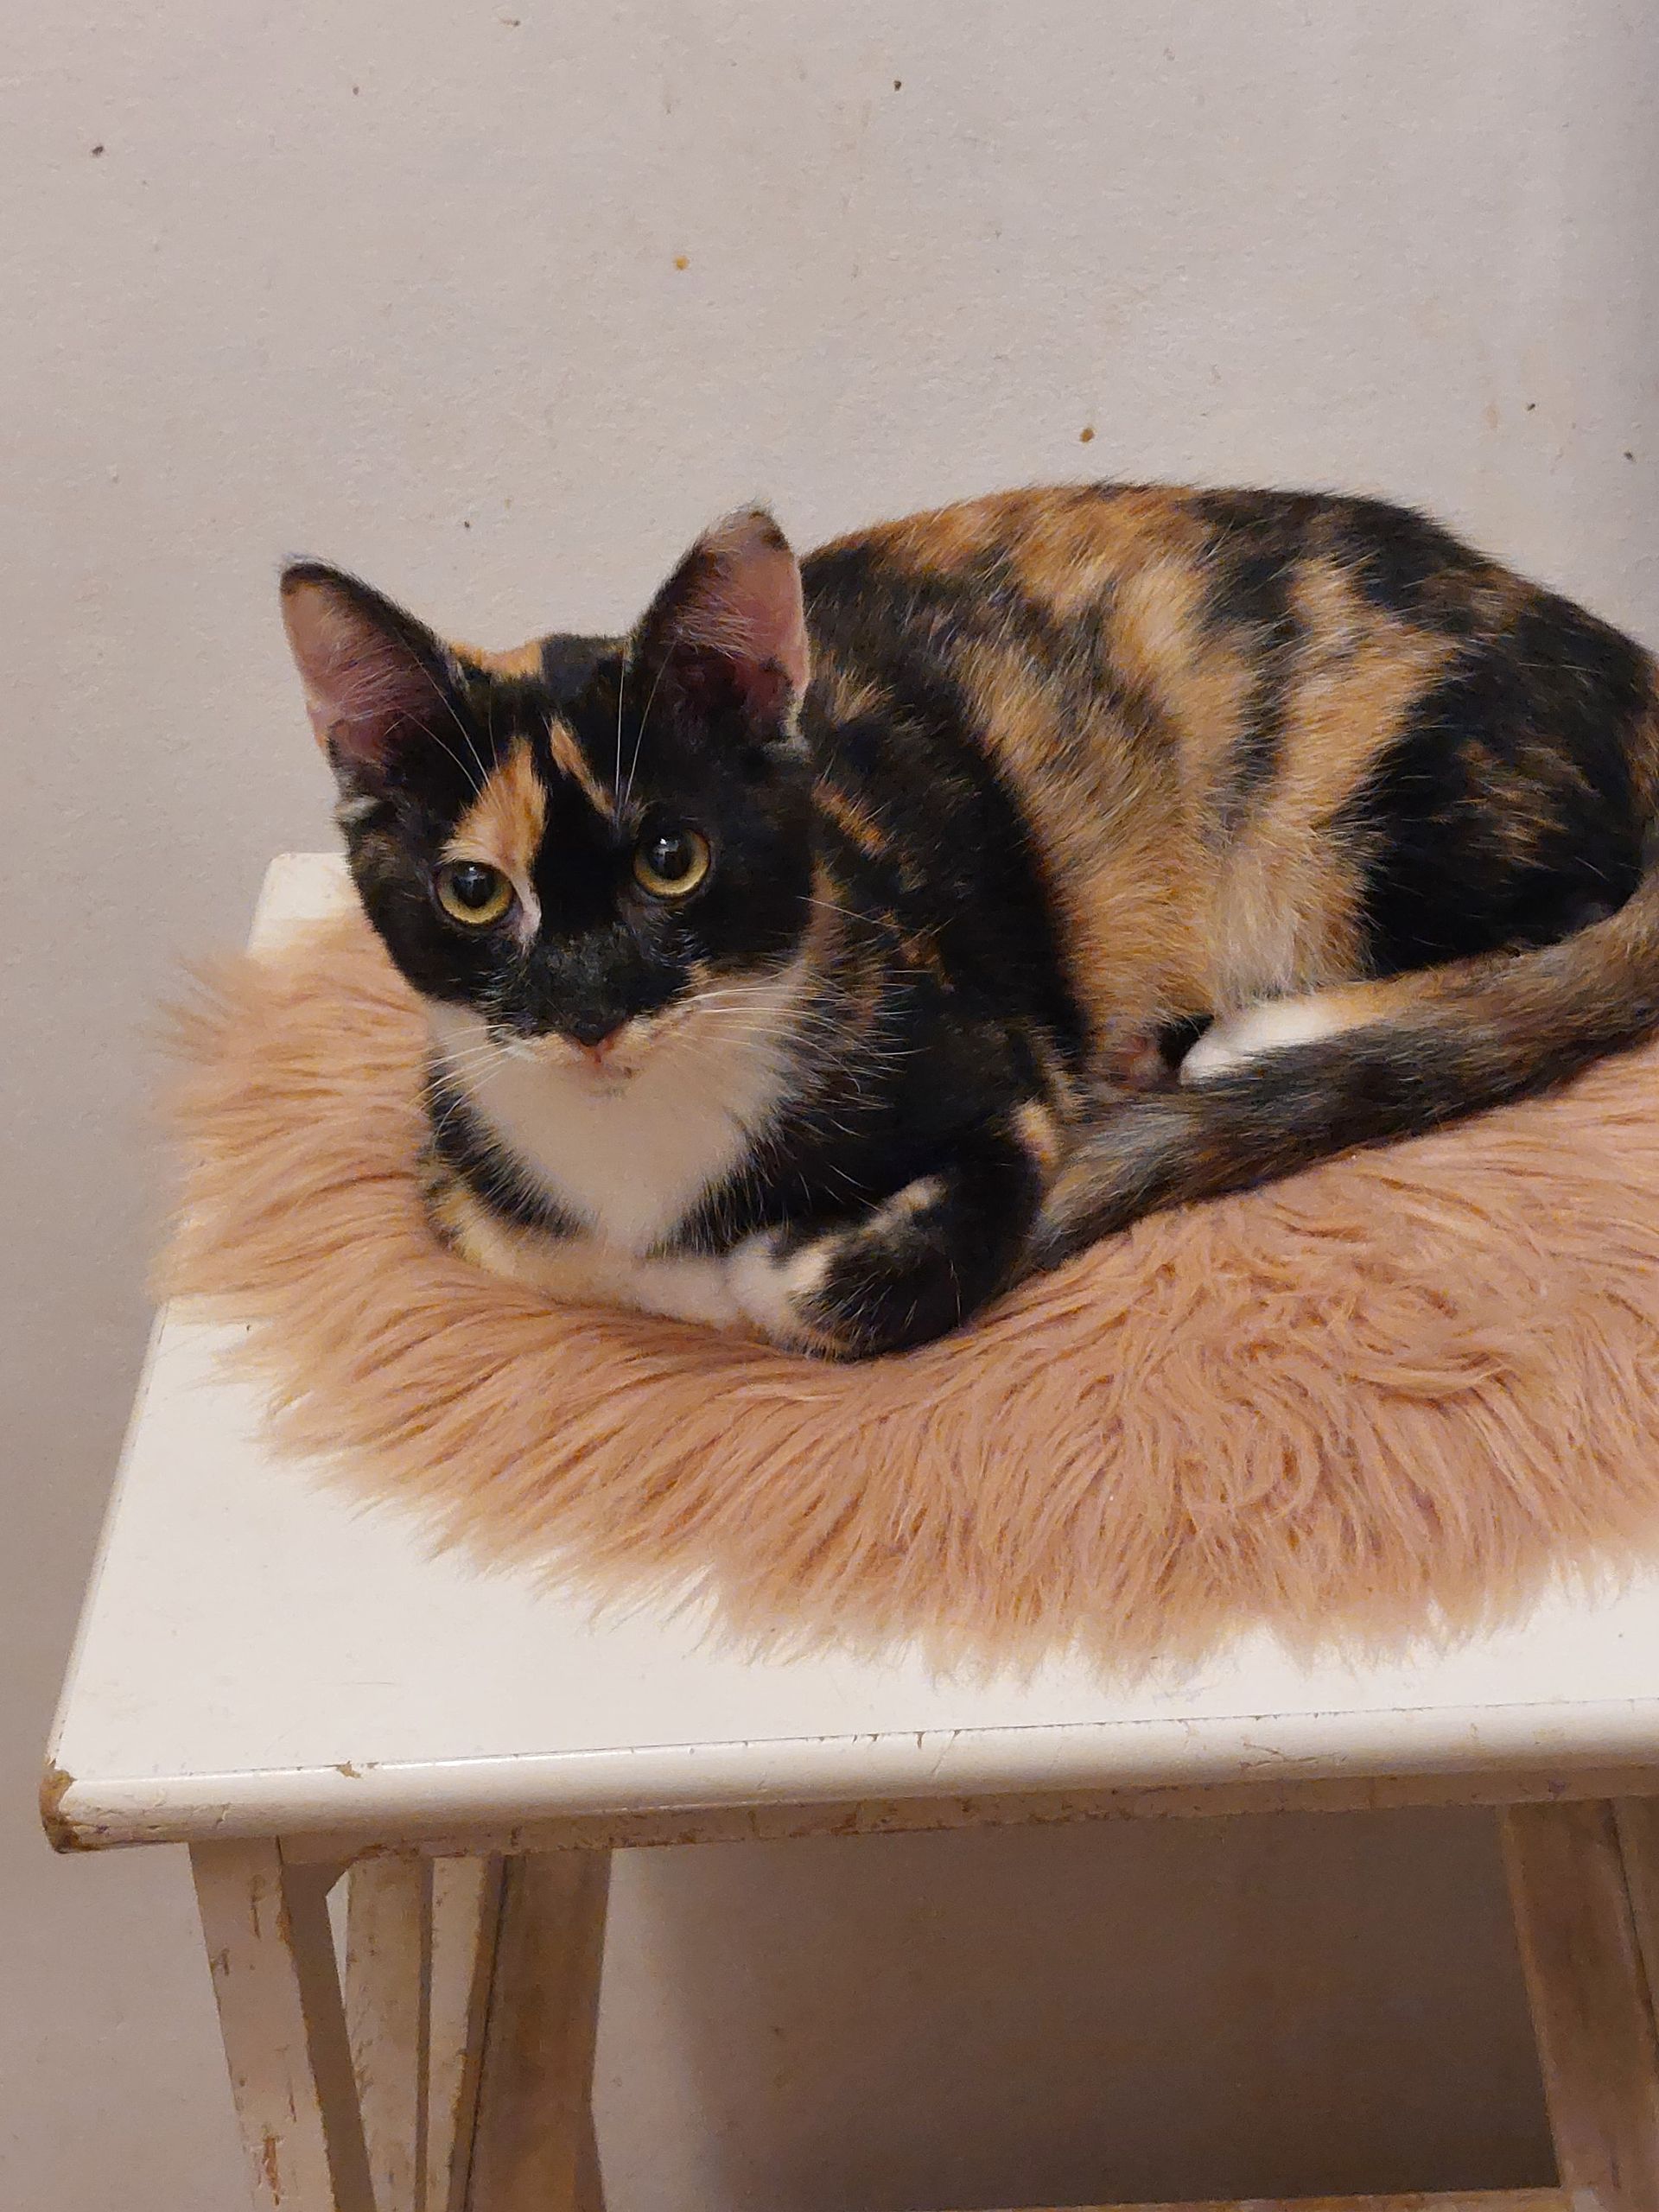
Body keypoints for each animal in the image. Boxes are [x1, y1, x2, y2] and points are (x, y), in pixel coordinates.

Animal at [281, 484, 1659, 1358]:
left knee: (1569, 922)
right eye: (474, 891)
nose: (590, 1009)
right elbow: (543, 1249)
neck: (644, 1153)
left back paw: (1254, 1036)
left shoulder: (1003, 1079)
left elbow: (828, 1287)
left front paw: (770, 1269)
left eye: (674, 859)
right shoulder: (457, 1163)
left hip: (1368, 802)